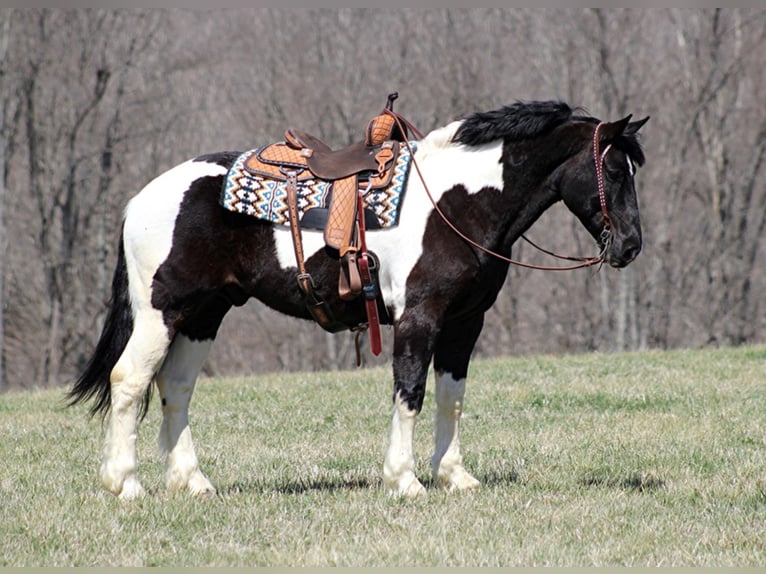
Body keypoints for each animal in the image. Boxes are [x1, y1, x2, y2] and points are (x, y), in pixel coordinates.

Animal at [69, 101, 652, 502]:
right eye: (614, 171)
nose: (630, 246)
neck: (457, 205)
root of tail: (142, 199)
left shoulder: (465, 322)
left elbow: (451, 396)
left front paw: (454, 476)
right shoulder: (419, 317)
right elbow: (410, 392)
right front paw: (405, 480)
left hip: (203, 315)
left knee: (177, 387)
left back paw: (192, 481)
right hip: (160, 312)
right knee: (130, 381)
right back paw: (124, 484)